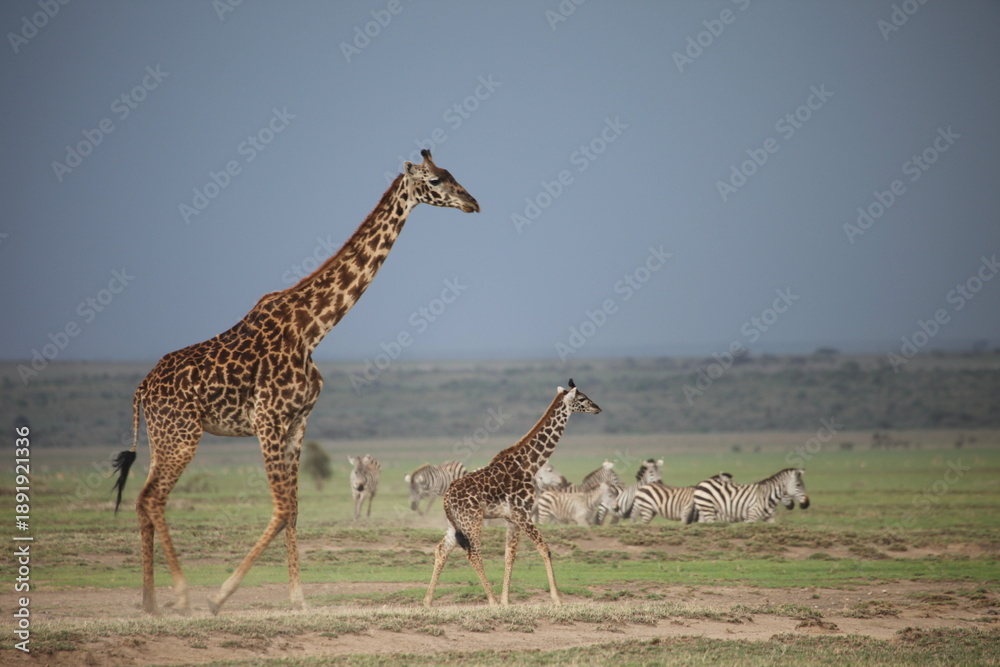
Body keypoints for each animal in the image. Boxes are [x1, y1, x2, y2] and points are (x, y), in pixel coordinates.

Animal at [110, 150, 479, 616]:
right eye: (435, 179)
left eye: (452, 173)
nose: (472, 202)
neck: (313, 328)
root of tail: (142, 389)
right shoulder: (267, 418)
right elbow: (282, 505)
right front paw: (220, 595)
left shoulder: (298, 421)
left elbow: (295, 508)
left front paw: (298, 598)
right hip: (182, 434)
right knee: (154, 498)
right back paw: (180, 594)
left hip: (163, 437)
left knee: (143, 500)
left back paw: (150, 602)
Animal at [423, 380, 601, 608]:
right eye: (582, 398)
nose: (597, 408)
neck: (529, 465)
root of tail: (445, 500)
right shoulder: (522, 513)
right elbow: (544, 548)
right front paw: (557, 599)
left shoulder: (512, 519)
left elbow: (510, 556)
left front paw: (506, 601)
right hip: (472, 520)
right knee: (474, 553)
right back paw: (491, 601)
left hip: (455, 525)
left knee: (441, 550)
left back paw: (428, 601)